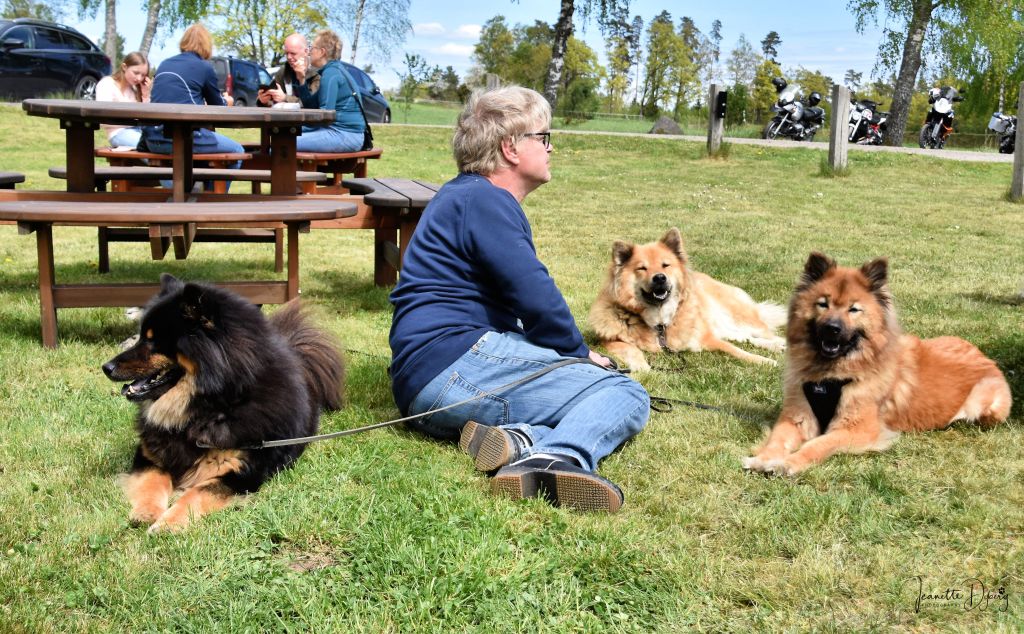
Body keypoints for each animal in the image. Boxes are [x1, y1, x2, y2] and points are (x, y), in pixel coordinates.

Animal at [102, 274, 344, 533]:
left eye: (153, 341)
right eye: (139, 337)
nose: (106, 367)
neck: (212, 407)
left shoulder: (242, 472)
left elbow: (197, 493)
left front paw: (167, 523)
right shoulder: (150, 456)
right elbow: (153, 483)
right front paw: (146, 512)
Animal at [589, 227, 786, 371]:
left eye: (665, 265)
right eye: (642, 268)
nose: (659, 278)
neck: (660, 324)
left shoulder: (707, 337)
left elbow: (735, 350)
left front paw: (763, 361)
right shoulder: (608, 341)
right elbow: (631, 349)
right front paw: (641, 366)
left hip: (736, 317)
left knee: (759, 333)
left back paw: (779, 344)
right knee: (742, 337)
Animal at [743, 252, 1011, 476]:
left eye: (854, 309)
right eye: (823, 304)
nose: (832, 328)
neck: (831, 375)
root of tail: (985, 356)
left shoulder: (859, 429)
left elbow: (818, 443)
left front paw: (789, 462)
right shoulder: (796, 415)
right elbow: (777, 439)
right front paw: (763, 459)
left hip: (986, 406)